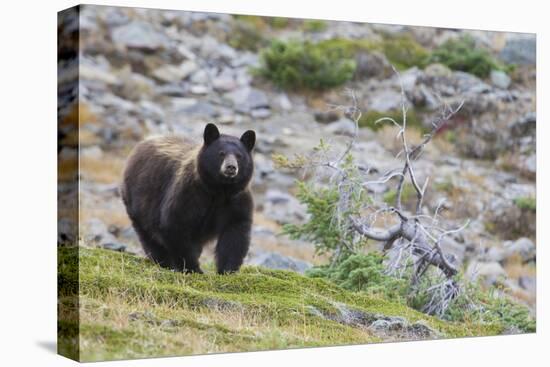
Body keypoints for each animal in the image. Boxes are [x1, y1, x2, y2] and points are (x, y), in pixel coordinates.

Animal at [121, 123, 256, 274]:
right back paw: (164, 262)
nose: (231, 167)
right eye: (221, 153)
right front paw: (192, 268)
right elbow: (176, 223)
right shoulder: (190, 193)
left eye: (239, 156)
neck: (219, 190)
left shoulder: (236, 200)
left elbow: (235, 231)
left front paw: (227, 270)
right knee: (149, 236)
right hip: (139, 201)